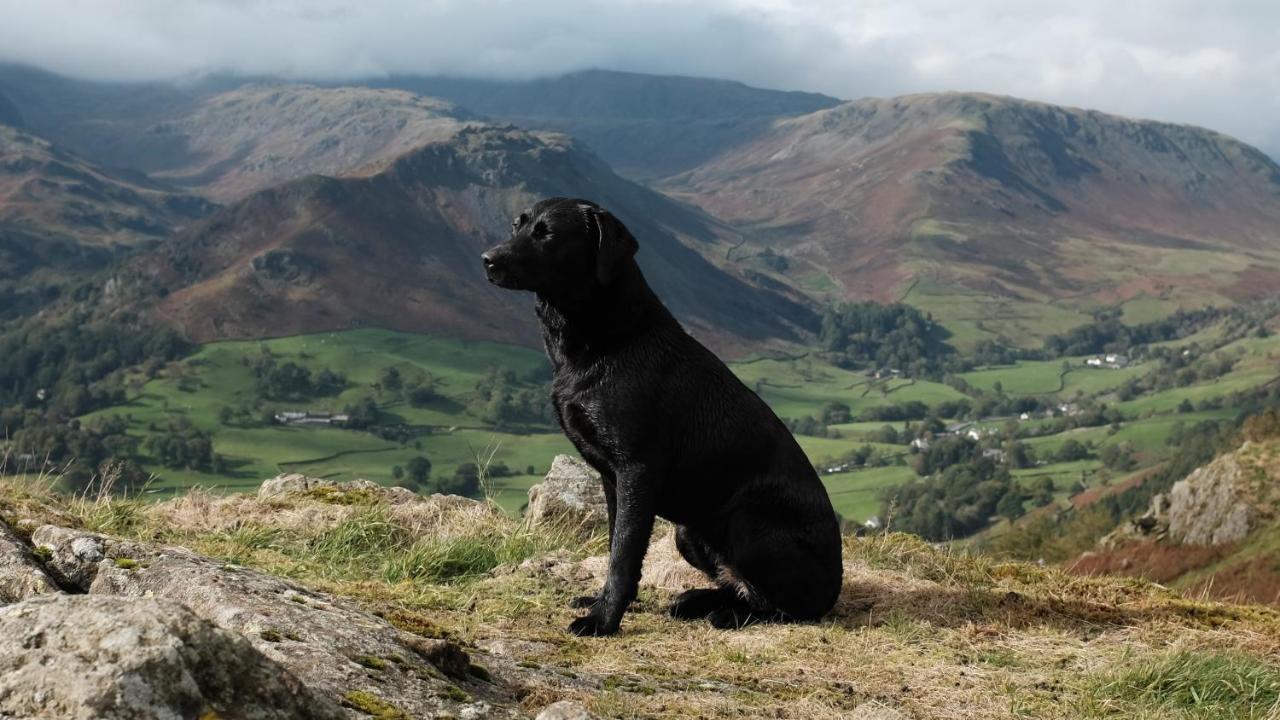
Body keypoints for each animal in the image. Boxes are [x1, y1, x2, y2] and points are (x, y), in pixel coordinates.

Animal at [481, 196, 839, 632]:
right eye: (516, 225)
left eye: (546, 233)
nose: (487, 260)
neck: (612, 336)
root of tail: (837, 582)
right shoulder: (612, 478)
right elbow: (617, 544)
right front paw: (604, 602)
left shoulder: (637, 469)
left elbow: (623, 553)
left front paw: (603, 620)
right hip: (688, 531)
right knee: (736, 584)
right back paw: (694, 600)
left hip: (747, 521)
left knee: (785, 607)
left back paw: (728, 615)